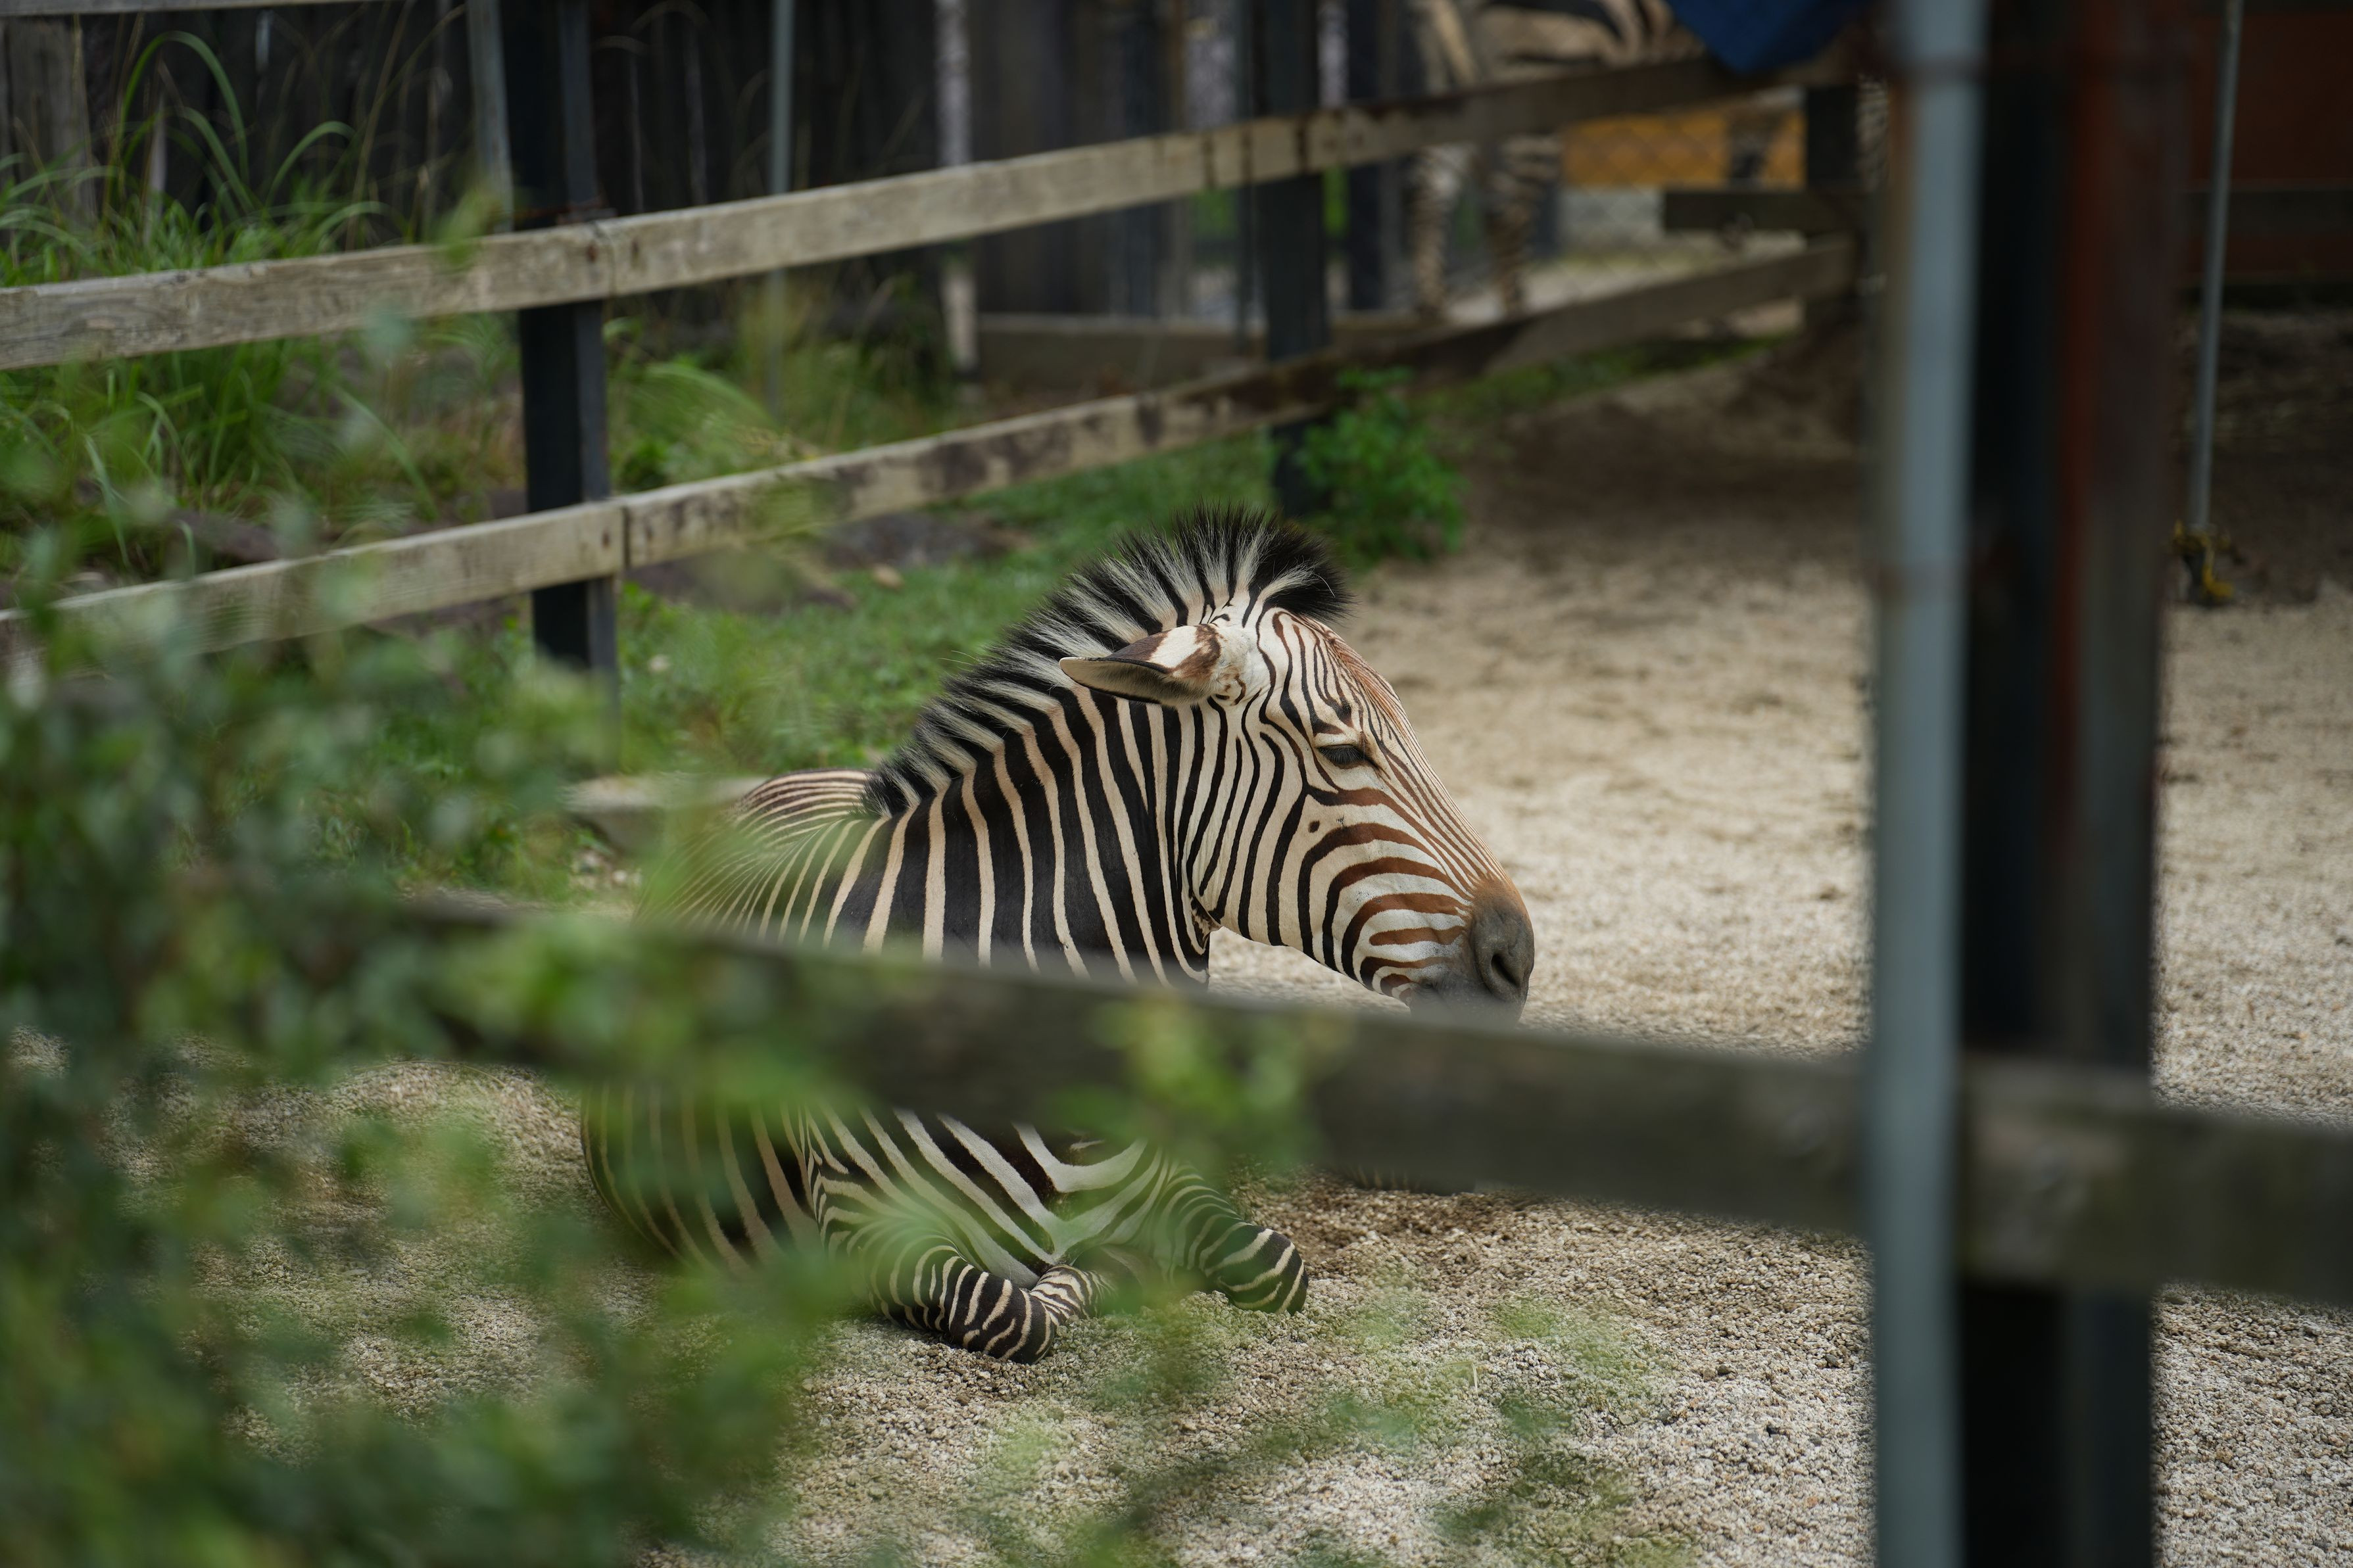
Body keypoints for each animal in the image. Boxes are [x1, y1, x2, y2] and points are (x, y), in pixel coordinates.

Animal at [582, 509, 1534, 1361]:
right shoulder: (868, 1236)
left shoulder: (1177, 1181)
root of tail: (791, 778)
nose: (1516, 957)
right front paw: (1101, 1273)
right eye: (1342, 751)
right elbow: (1021, 1311)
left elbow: (1273, 1263)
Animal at [1407, 0, 1701, 318]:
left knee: (1429, 190)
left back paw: (1433, 309)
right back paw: (1518, 314)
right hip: (1532, 88)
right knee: (1506, 214)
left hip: (1452, 93)